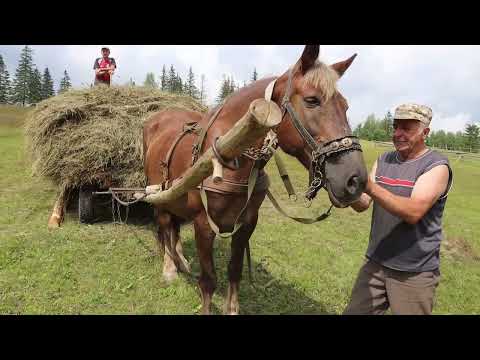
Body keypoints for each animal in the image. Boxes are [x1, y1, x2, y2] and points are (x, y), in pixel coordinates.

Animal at [142, 45, 368, 316]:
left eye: (345, 106)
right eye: (312, 100)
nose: (356, 179)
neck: (230, 152)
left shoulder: (247, 223)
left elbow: (235, 271)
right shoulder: (204, 225)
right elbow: (208, 280)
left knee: (173, 228)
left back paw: (182, 261)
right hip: (157, 193)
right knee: (164, 226)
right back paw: (169, 268)